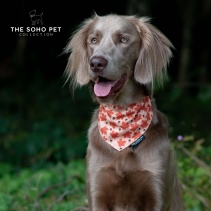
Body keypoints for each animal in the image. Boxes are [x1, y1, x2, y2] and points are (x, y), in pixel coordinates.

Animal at [64, 13, 183, 211]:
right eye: (94, 40)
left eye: (123, 40)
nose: (96, 63)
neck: (121, 118)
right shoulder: (97, 190)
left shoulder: (156, 190)